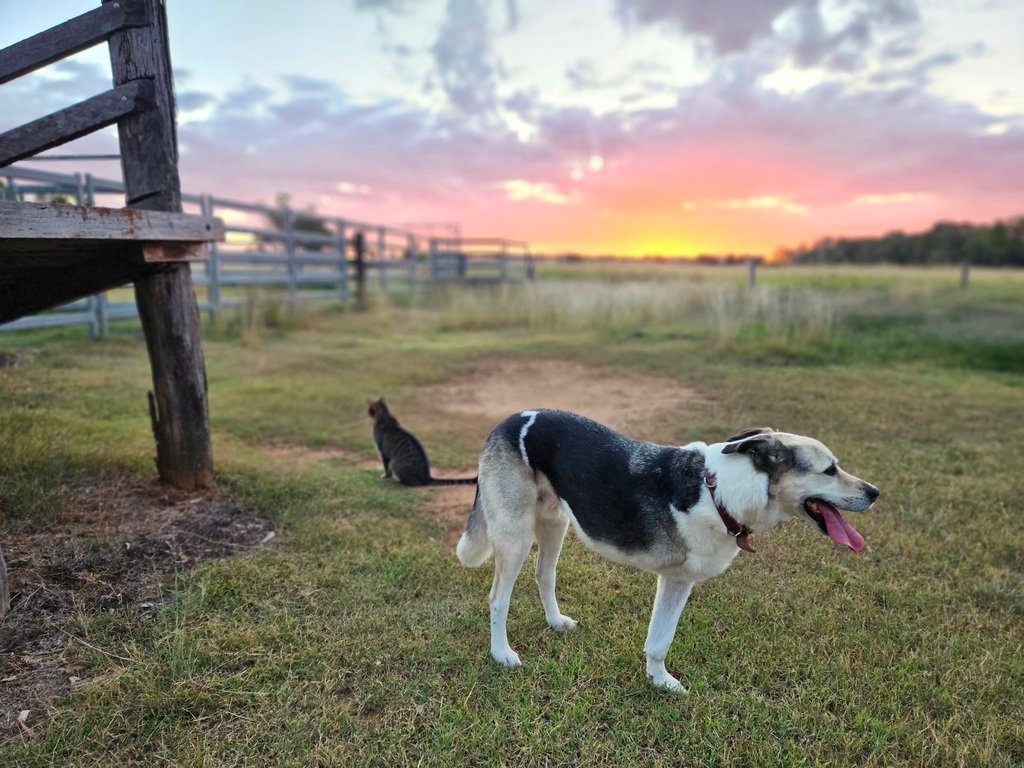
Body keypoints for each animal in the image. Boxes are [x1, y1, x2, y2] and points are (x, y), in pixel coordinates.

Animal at [458, 411, 880, 696]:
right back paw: (501, 653)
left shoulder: (678, 582)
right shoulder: (675, 579)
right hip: (515, 534)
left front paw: (659, 681)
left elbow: (659, 641)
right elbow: (661, 639)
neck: (717, 492)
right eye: (829, 470)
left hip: (554, 524)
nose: (875, 492)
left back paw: (555, 621)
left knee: (543, 575)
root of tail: (510, 419)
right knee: (498, 598)